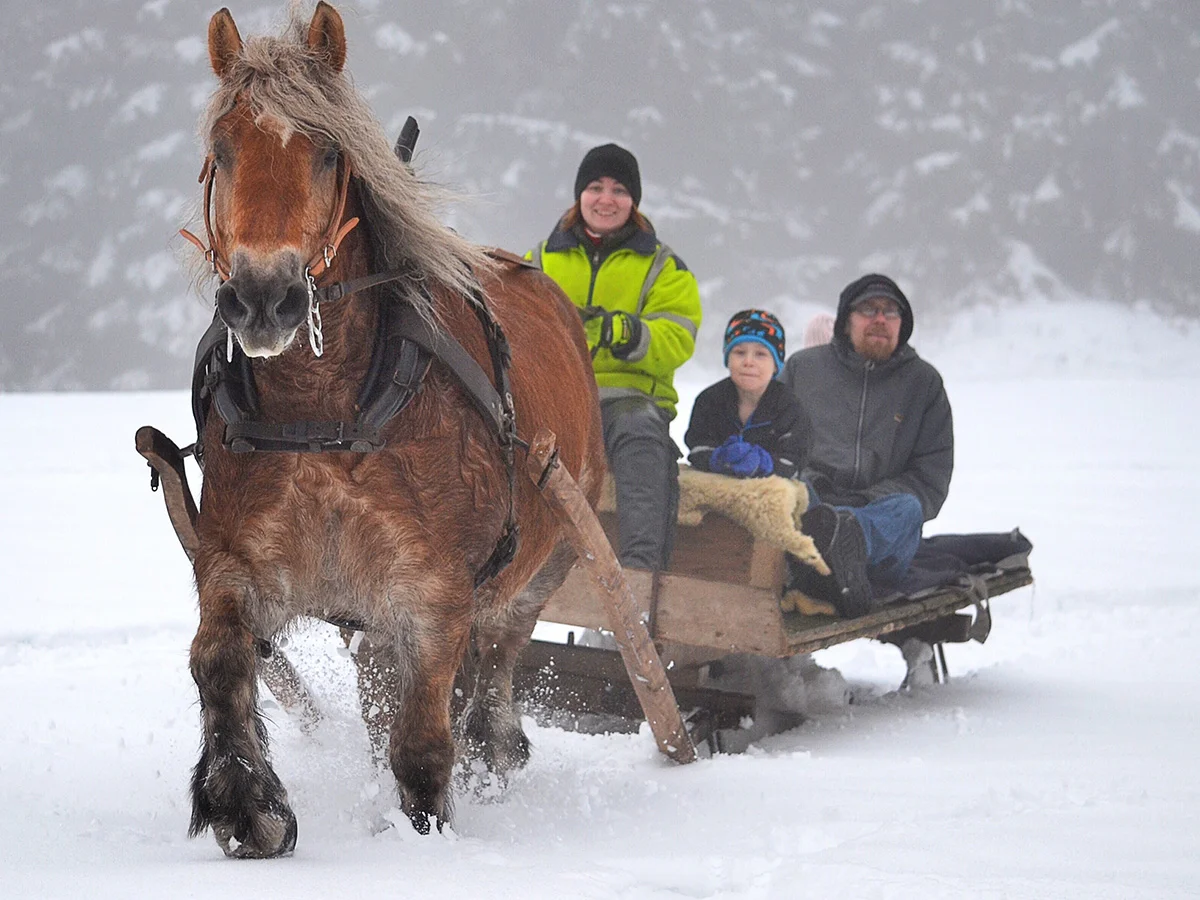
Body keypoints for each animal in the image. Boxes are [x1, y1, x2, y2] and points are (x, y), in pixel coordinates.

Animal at [179, 2, 605, 858]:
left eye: (328, 152)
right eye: (222, 150)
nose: (264, 297)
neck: (326, 416)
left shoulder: (436, 595)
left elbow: (422, 744)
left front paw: (423, 838)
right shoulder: (237, 559)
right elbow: (217, 660)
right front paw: (246, 803)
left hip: (547, 560)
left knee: (495, 670)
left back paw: (494, 752)